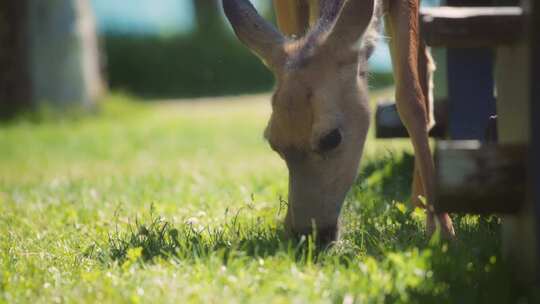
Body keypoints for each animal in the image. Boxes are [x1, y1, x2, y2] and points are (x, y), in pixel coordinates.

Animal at [224, 0, 456, 245]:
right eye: (273, 143)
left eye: (332, 138)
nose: (308, 233)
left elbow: (411, 99)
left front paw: (442, 227)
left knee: (424, 73)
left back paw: (420, 202)